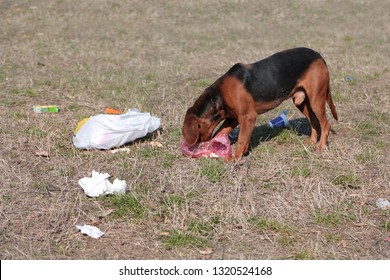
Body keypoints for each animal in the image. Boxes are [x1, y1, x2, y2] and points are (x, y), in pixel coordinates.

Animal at [183, 47, 338, 159]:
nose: (196, 147)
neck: (219, 95)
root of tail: (319, 56)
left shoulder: (248, 117)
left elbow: (242, 139)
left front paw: (235, 158)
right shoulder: (233, 118)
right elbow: (221, 132)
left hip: (316, 100)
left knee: (326, 125)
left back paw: (321, 147)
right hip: (302, 102)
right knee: (315, 122)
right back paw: (311, 142)